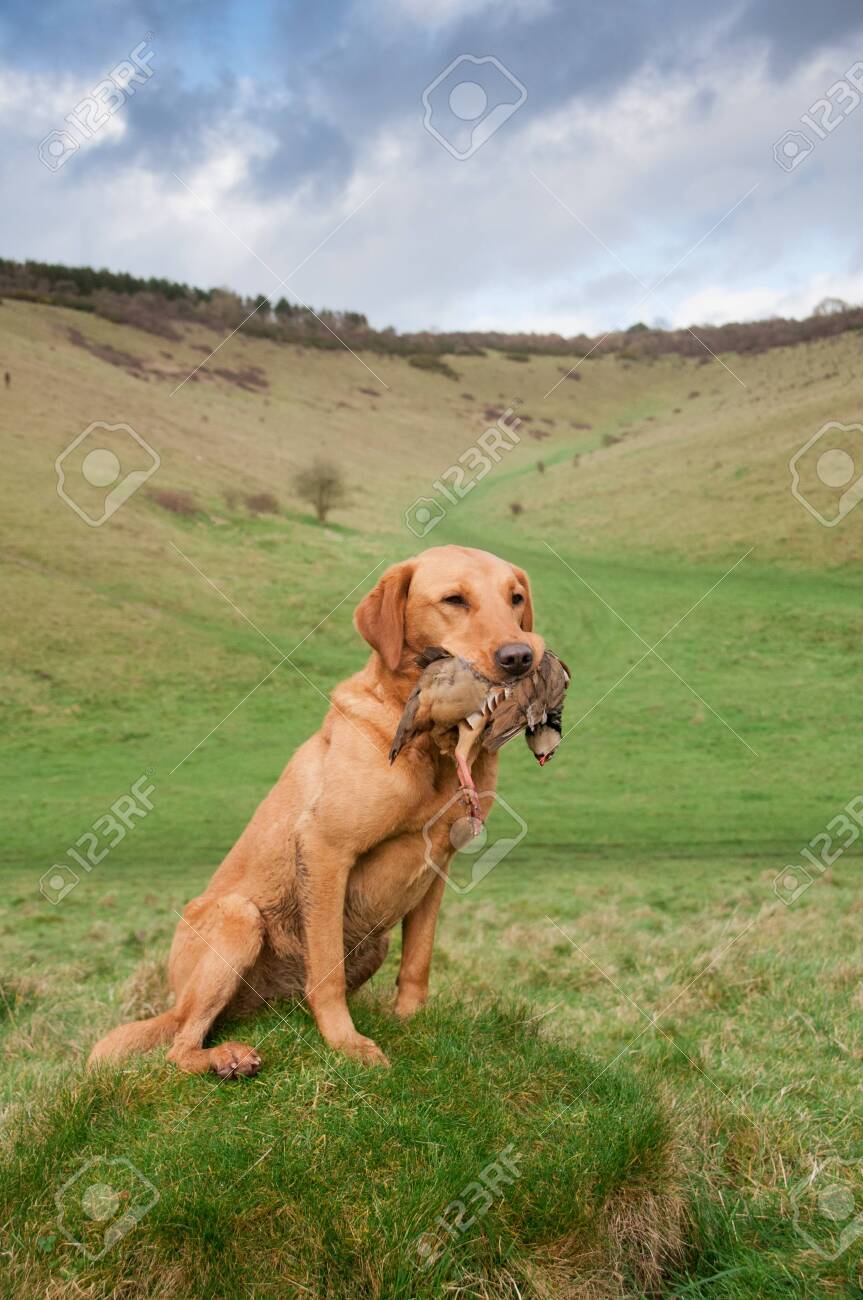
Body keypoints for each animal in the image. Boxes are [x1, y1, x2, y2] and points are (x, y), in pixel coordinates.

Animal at [89, 543, 545, 1071]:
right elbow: (326, 971)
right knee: (180, 1046)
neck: (432, 748)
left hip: (369, 945)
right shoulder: (327, 850)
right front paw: (346, 1043)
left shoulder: (439, 867)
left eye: (515, 598)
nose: (520, 656)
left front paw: (412, 1021)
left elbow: (419, 959)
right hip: (239, 918)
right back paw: (226, 1059)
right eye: (454, 599)